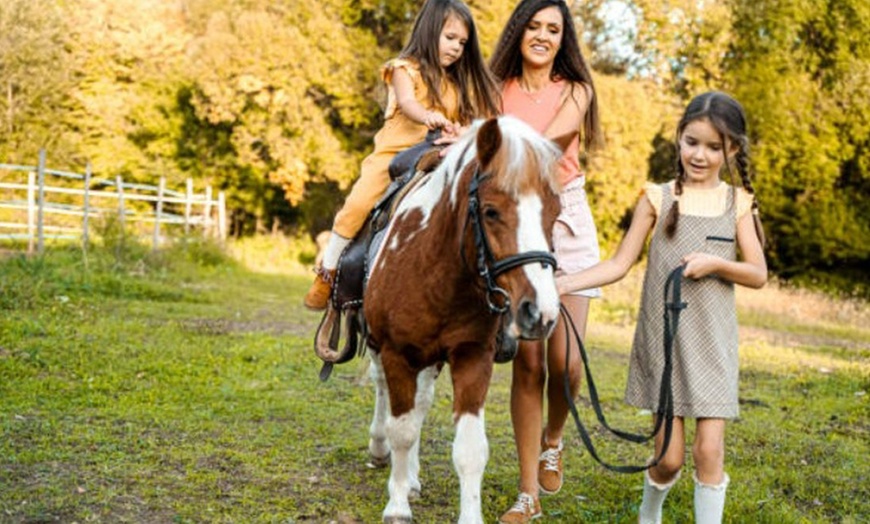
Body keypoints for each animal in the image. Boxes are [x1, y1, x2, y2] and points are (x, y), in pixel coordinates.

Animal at [364, 116, 568, 520]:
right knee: (384, 392)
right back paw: (380, 449)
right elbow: (402, 431)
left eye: (555, 213)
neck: (435, 270)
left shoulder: (473, 357)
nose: (541, 313)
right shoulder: (397, 354)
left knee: (420, 404)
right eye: (491, 211)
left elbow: (470, 449)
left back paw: (411, 476)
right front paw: (396, 505)